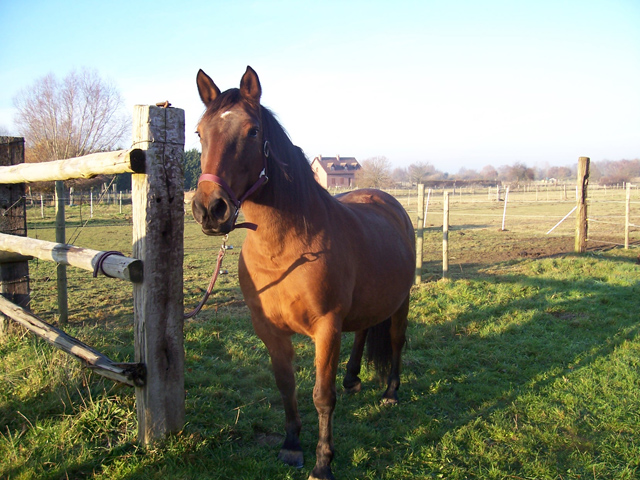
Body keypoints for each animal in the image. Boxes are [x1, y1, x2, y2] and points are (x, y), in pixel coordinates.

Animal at [190, 66, 416, 480]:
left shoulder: (326, 327)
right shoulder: (270, 331)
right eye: (199, 132)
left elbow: (322, 396)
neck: (287, 248)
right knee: (363, 332)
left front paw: (323, 462)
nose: (210, 209)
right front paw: (292, 445)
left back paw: (391, 392)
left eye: (253, 131)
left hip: (401, 301)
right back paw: (353, 378)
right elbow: (286, 386)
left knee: (395, 340)